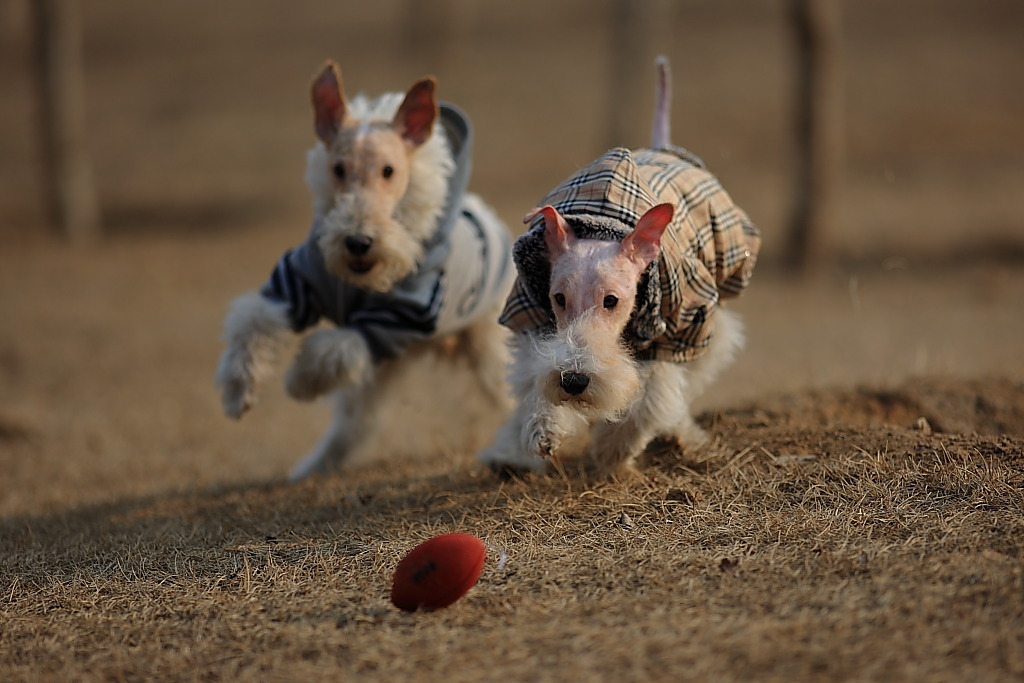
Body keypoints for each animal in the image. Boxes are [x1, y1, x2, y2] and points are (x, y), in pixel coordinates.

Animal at [219, 62, 516, 481]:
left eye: (388, 170)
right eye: (338, 169)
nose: (358, 242)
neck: (358, 283)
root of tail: (488, 215)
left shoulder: (393, 320)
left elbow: (331, 349)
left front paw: (297, 383)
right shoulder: (294, 285)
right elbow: (252, 321)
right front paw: (237, 394)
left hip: (487, 344)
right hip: (386, 370)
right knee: (354, 425)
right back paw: (313, 466)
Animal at [479, 57, 761, 475]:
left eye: (612, 301)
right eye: (558, 298)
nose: (574, 381)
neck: (602, 224)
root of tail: (663, 144)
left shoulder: (678, 329)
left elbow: (652, 395)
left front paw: (613, 450)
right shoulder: (529, 315)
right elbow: (533, 376)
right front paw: (542, 430)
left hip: (714, 312)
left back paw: (682, 434)